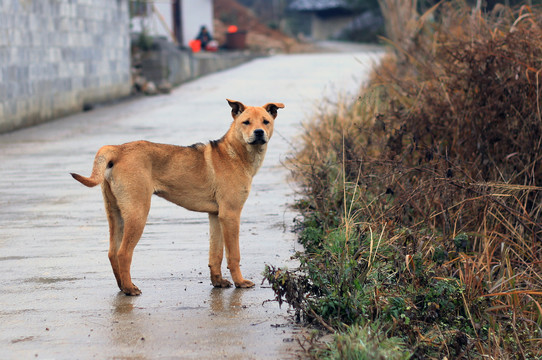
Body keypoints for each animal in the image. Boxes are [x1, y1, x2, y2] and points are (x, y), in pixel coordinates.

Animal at [70, 99, 286, 296]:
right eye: (246, 122)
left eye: (265, 121)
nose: (259, 132)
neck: (235, 153)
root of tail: (117, 149)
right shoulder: (231, 215)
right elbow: (234, 255)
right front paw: (240, 282)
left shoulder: (216, 216)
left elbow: (215, 254)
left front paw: (218, 281)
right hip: (137, 213)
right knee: (124, 253)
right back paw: (131, 288)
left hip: (116, 214)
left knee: (112, 252)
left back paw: (123, 286)